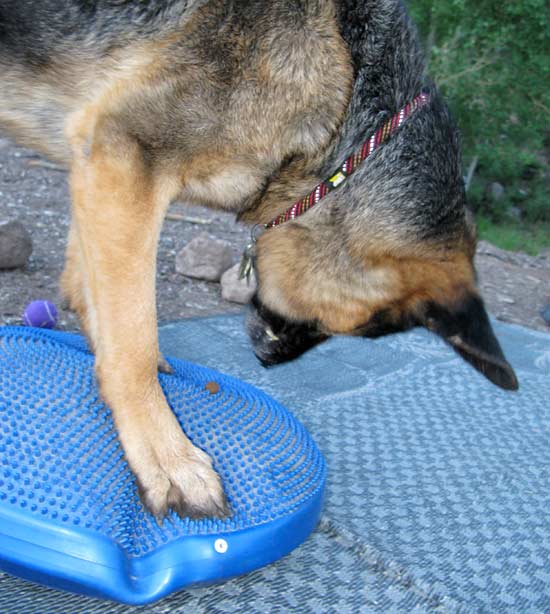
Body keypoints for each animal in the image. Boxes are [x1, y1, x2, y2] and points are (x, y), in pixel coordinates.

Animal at [0, 0, 520, 520]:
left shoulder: (99, 165)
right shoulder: (126, 157)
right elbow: (134, 346)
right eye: (350, 326)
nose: (268, 362)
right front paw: (166, 455)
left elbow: (89, 291)